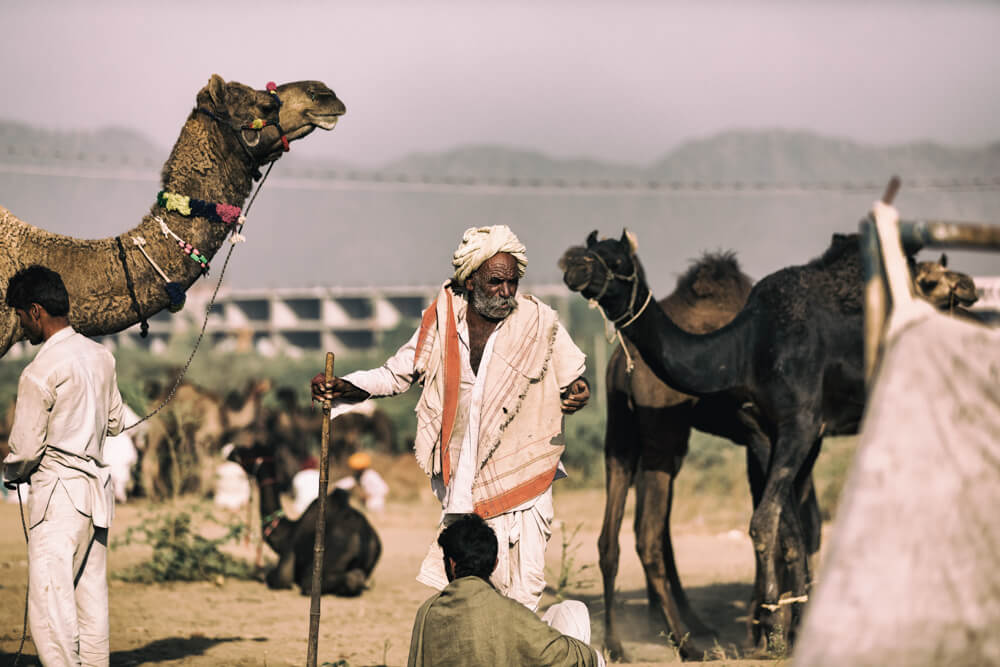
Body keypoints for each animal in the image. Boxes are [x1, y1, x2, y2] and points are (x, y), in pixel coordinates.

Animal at [229, 440, 380, 596]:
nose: (232, 452)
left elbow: (277, 578)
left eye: (249, 452)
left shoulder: (287, 559)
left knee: (319, 581)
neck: (287, 530)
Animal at [560, 230, 980, 652]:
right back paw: (664, 639)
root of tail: (618, 364)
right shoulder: (769, 431)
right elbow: (784, 527)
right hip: (647, 436)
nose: (573, 263)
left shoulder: (800, 426)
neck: (747, 345)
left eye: (617, 260)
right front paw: (780, 626)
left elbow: (782, 524)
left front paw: (775, 626)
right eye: (593, 251)